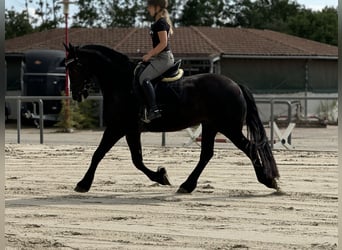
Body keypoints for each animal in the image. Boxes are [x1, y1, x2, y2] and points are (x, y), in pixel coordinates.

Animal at [65, 43, 280, 193]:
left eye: (74, 68)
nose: (76, 94)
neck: (122, 83)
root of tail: (235, 85)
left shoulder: (119, 127)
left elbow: (104, 155)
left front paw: (83, 184)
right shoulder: (127, 130)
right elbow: (132, 159)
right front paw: (161, 176)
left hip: (229, 127)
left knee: (249, 148)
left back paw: (269, 180)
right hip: (211, 125)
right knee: (206, 154)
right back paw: (187, 185)